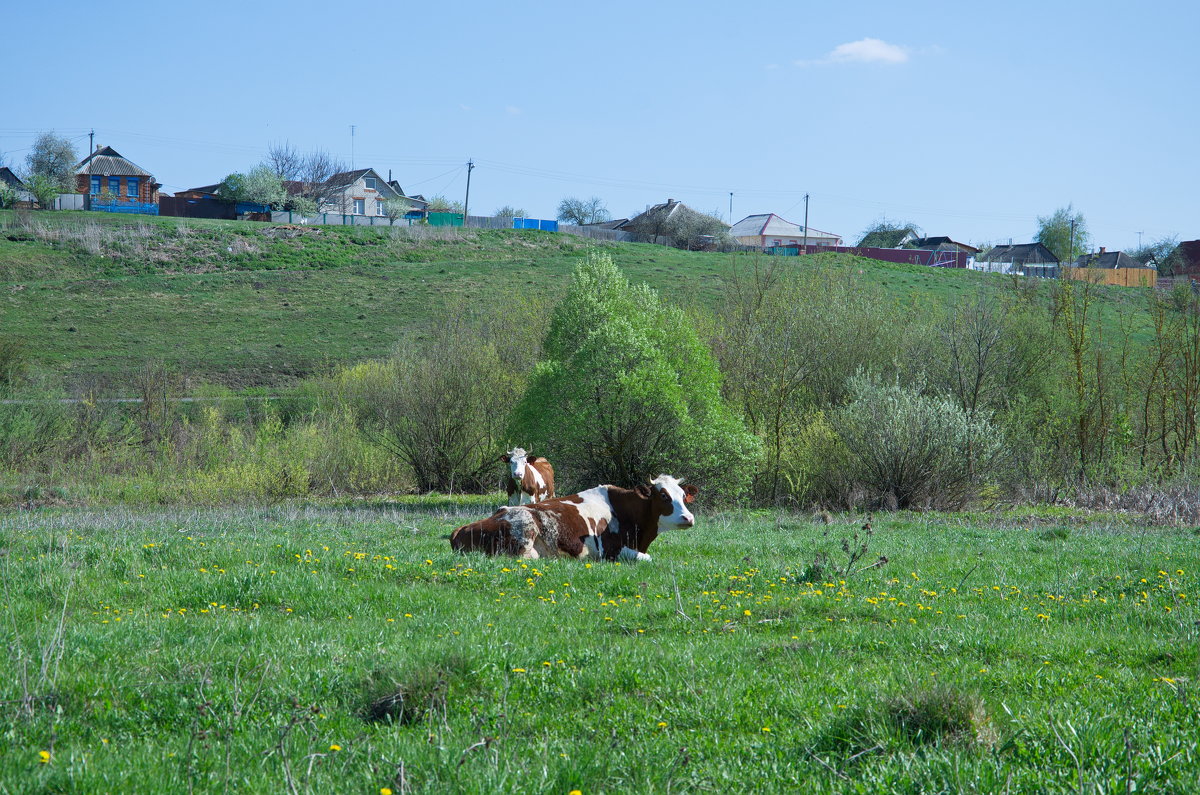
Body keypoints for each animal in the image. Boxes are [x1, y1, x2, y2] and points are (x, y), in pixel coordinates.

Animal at [448, 475, 696, 564]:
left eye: (683, 496)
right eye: (663, 496)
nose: (689, 517)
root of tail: (460, 529)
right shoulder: (609, 550)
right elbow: (646, 558)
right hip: (525, 527)